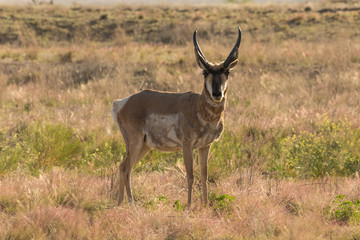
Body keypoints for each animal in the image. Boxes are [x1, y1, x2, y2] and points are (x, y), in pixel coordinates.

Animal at [112, 26, 242, 206]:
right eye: (205, 72)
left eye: (227, 71)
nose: (217, 93)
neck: (199, 107)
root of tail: (122, 102)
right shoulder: (187, 145)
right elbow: (190, 176)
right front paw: (188, 206)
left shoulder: (204, 146)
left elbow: (204, 175)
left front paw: (205, 205)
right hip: (135, 142)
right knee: (125, 168)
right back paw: (131, 203)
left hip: (144, 146)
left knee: (124, 167)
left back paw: (120, 204)